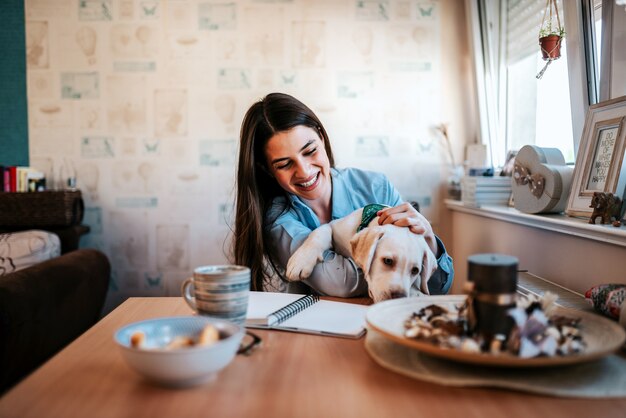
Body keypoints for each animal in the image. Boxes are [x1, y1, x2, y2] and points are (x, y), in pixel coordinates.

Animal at [286, 207, 436, 302]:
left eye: (415, 270)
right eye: (388, 261)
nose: (399, 297)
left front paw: (418, 294)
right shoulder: (332, 226)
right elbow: (319, 233)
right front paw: (301, 260)